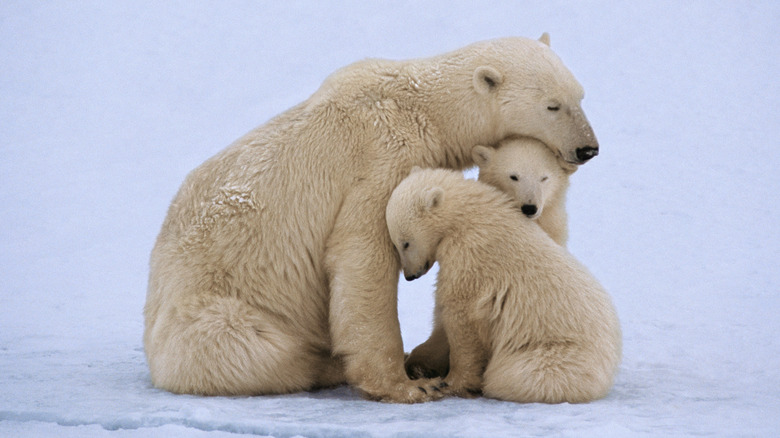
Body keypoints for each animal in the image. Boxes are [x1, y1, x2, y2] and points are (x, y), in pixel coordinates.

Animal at [145, 35, 596, 404]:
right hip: (215, 310)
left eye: (581, 95)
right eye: (552, 105)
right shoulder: (380, 158)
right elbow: (363, 256)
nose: (588, 148)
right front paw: (411, 385)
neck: (421, 109)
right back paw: (321, 364)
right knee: (248, 345)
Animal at [390, 169, 620, 404]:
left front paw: (450, 383)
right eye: (395, 243)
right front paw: (419, 364)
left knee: (513, 375)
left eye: (405, 242)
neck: (469, 216)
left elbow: (461, 315)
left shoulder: (471, 254)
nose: (410, 276)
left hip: (557, 354)